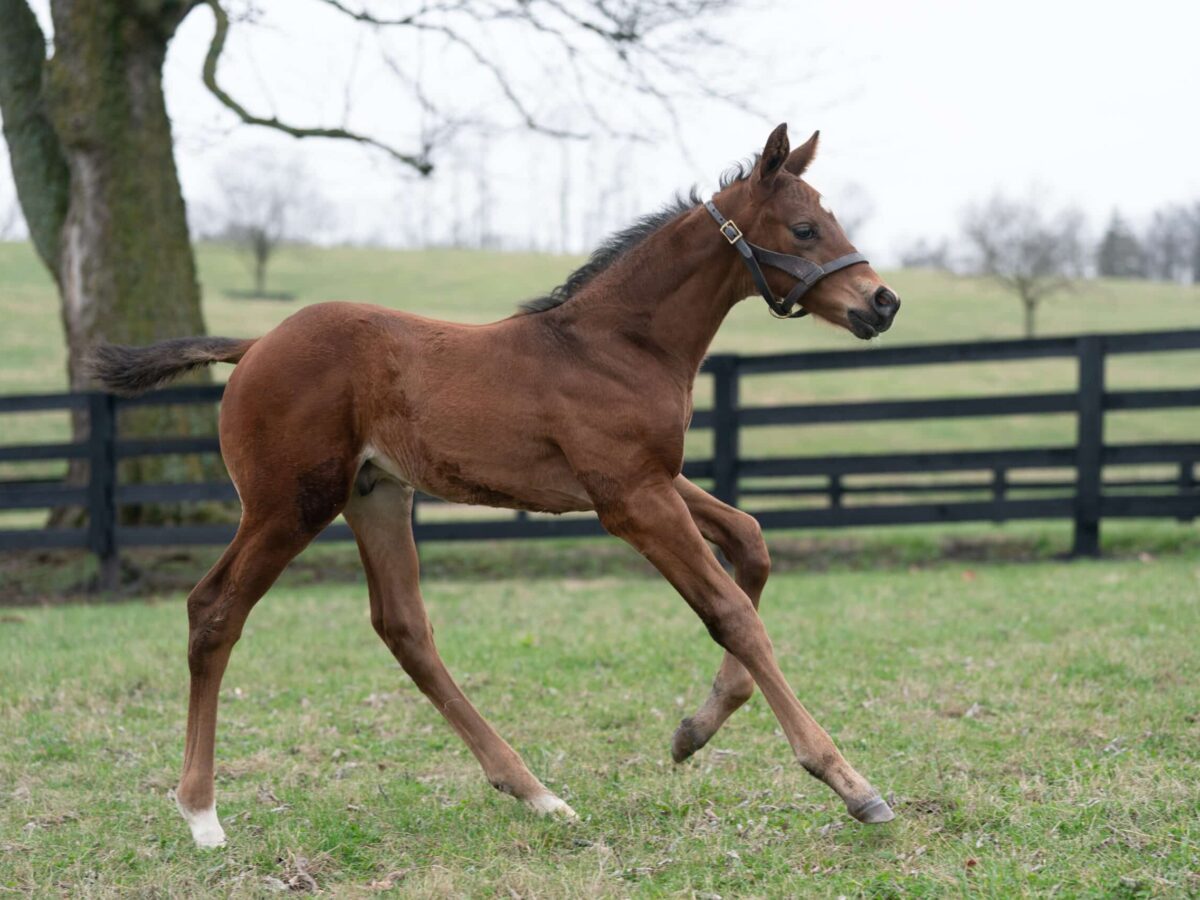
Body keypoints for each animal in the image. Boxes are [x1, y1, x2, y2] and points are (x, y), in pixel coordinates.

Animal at [93, 123, 902, 849]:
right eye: (804, 227)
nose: (882, 302)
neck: (614, 344)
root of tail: (256, 344)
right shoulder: (631, 500)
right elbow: (731, 611)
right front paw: (850, 784)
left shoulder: (653, 479)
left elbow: (752, 543)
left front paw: (692, 732)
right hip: (288, 505)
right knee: (214, 609)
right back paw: (202, 815)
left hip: (376, 495)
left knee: (403, 628)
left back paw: (536, 793)